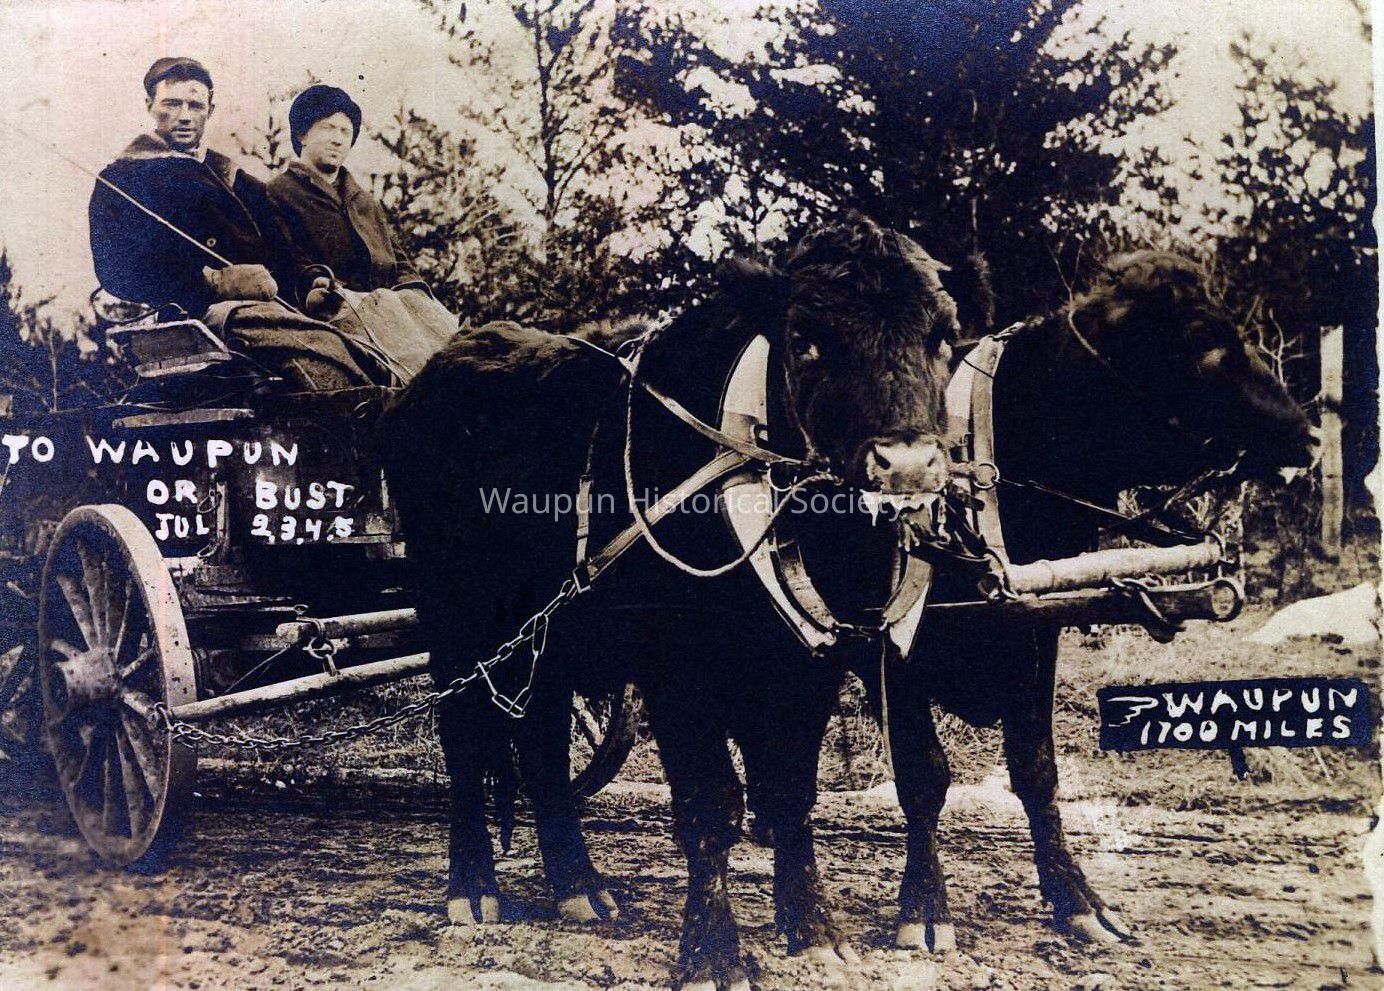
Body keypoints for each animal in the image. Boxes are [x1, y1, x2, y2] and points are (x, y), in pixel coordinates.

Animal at [378, 213, 962, 990]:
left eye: (944, 334)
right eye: (806, 338)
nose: (906, 465)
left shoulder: (814, 659)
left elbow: (791, 789)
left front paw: (813, 931)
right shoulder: (676, 665)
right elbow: (711, 804)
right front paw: (714, 952)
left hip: (545, 634)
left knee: (541, 744)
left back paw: (579, 886)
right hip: (454, 622)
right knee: (466, 738)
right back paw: (472, 889)